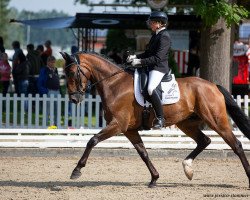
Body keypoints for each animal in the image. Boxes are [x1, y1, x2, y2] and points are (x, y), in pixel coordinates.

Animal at [61, 51, 250, 188]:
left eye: (72, 72)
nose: (74, 99)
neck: (114, 84)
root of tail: (213, 86)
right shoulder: (129, 129)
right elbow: (143, 152)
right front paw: (154, 178)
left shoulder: (117, 125)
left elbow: (92, 140)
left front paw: (76, 170)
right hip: (186, 123)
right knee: (204, 140)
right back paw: (187, 168)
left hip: (216, 120)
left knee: (236, 145)